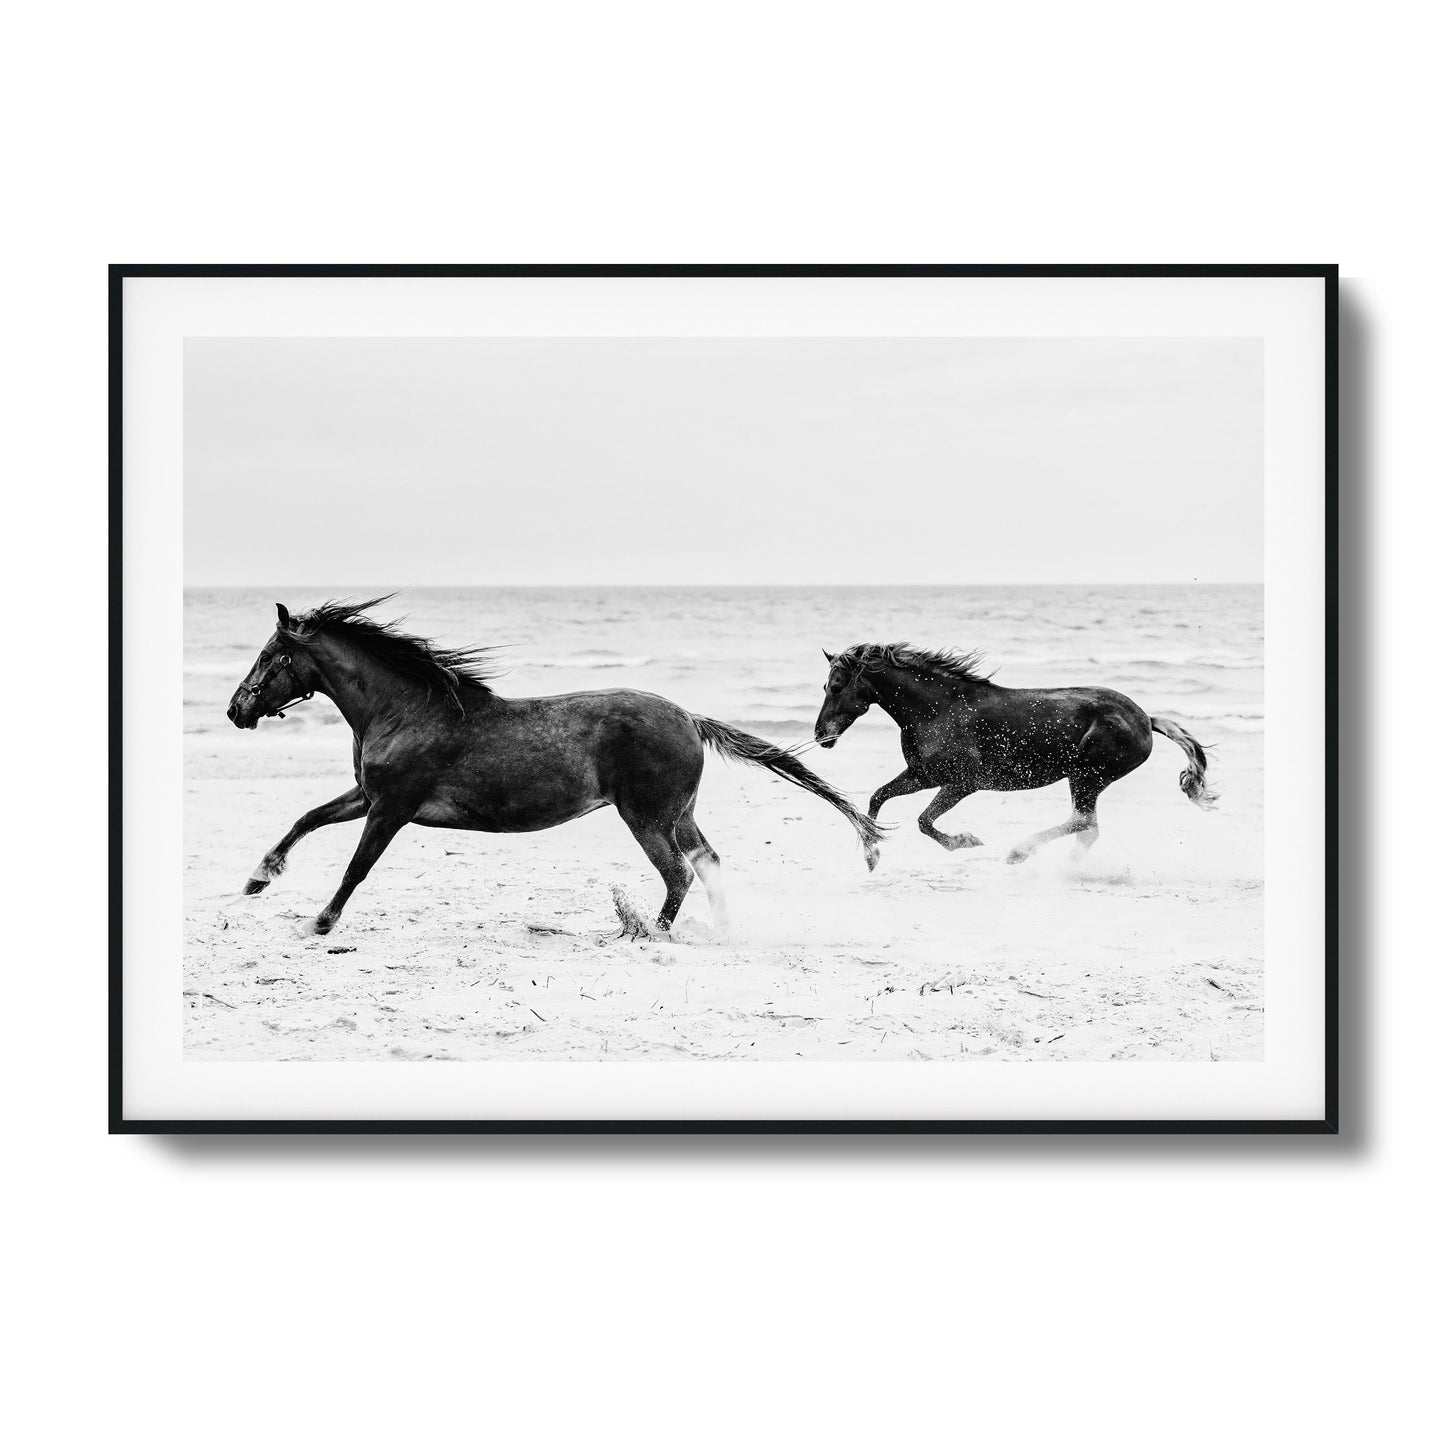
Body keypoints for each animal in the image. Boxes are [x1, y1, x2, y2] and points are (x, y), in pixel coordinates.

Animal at [226, 598, 883, 937]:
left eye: (270, 655)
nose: (235, 710)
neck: (406, 710)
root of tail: (690, 718)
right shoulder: (367, 796)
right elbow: (306, 818)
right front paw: (258, 879)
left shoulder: (392, 807)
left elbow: (357, 867)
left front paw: (320, 922)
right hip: (679, 814)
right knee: (708, 863)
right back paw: (718, 931)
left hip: (645, 817)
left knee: (678, 874)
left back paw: (651, 935)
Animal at [813, 643, 1217, 864]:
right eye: (825, 685)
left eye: (837, 685)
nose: (820, 735)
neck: (938, 709)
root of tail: (1146, 719)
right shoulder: (924, 775)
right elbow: (877, 798)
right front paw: (872, 855)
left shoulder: (962, 783)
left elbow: (924, 821)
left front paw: (967, 842)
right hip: (1086, 779)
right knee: (1087, 829)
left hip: (1087, 776)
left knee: (1083, 823)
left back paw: (1020, 854)